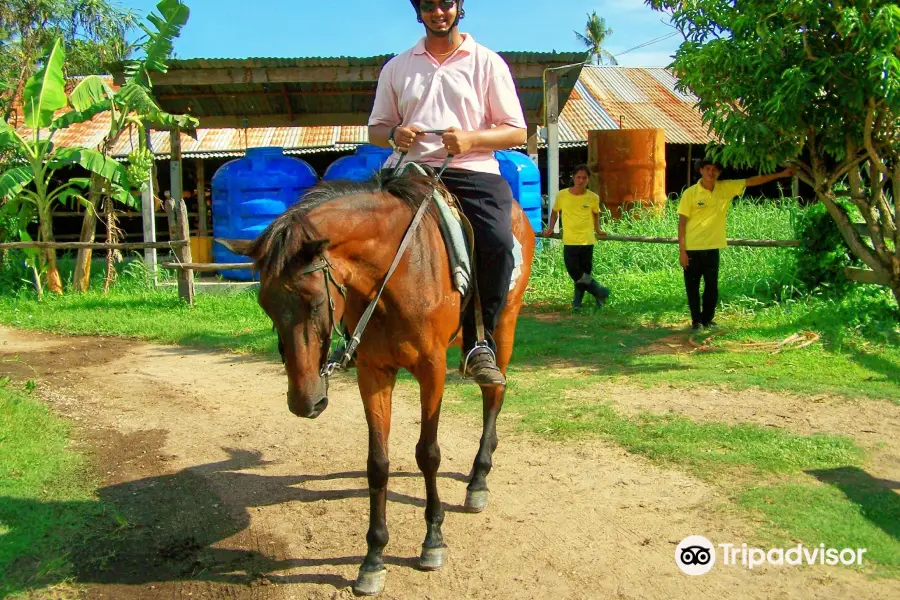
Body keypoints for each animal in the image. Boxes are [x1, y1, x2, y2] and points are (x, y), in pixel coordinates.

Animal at [227, 173, 536, 596]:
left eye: (314, 301)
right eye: (265, 305)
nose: (305, 402)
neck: (397, 271)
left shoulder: (431, 369)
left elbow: (428, 454)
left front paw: (433, 541)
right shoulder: (373, 372)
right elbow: (377, 463)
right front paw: (372, 559)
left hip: (505, 324)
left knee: (494, 394)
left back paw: (478, 479)